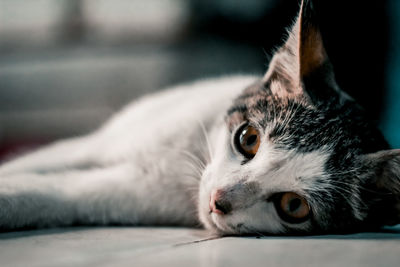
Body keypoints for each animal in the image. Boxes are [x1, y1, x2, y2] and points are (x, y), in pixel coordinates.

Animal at [0, 0, 400, 234]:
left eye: (293, 206)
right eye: (248, 139)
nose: (218, 200)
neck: (193, 155)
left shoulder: (128, 191)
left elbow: (52, 193)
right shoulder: (98, 143)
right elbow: (38, 160)